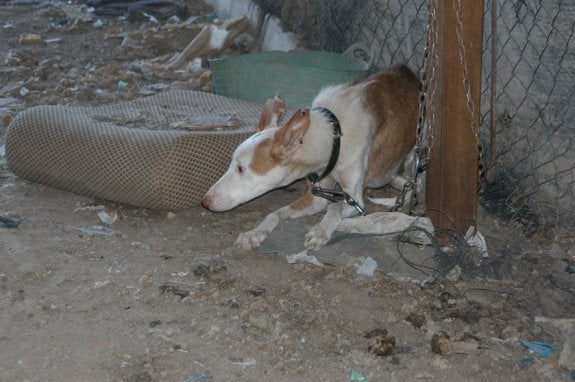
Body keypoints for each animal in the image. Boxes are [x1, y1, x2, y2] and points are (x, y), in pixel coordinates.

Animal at [201, 65, 418, 251]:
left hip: (412, 158)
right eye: (232, 164)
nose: (205, 202)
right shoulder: (316, 198)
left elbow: (334, 208)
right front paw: (254, 233)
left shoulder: (354, 199)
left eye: (240, 168)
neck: (335, 135)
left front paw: (320, 231)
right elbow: (275, 213)